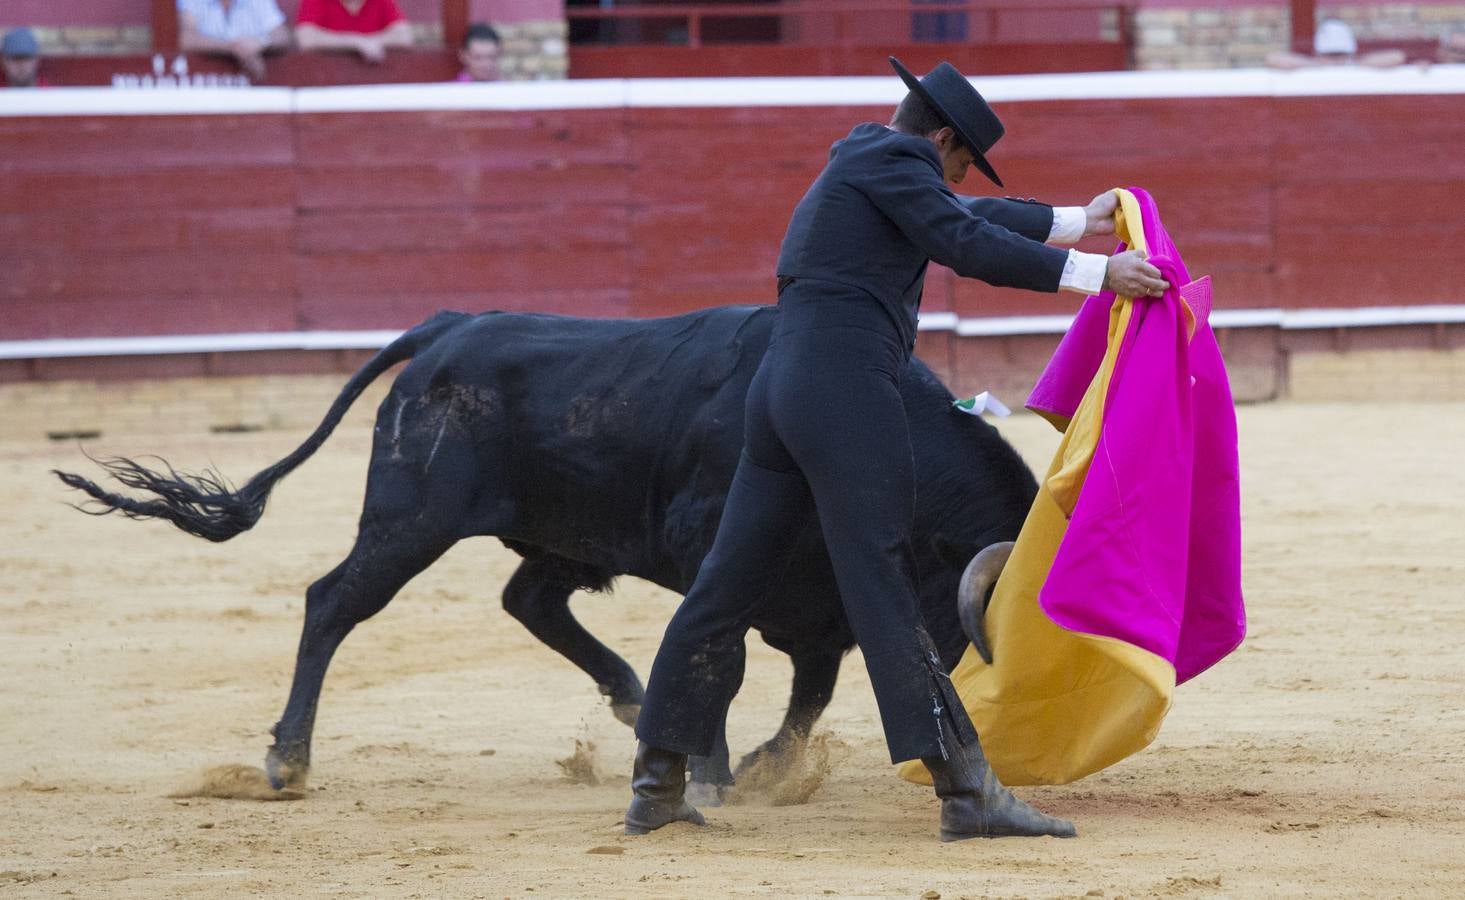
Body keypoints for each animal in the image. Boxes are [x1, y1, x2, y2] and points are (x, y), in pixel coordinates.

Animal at [60, 306, 1043, 803]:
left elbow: (809, 687)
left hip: (561, 537)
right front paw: (715, 774)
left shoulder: (817, 601)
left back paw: (634, 701)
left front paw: (758, 766)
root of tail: (450, 329)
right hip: (410, 520)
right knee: (331, 603)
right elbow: (720, 656)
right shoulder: (722, 556)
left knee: (527, 601)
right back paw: (288, 762)